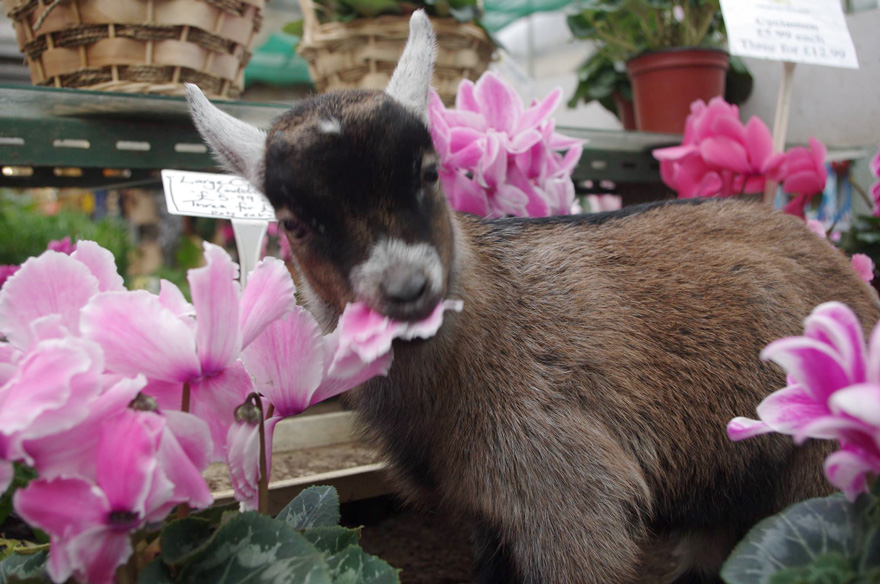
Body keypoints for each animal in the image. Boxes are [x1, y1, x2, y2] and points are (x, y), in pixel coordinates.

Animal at [186, 12, 880, 583]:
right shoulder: (486, 513)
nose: (408, 288)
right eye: (294, 222)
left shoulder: (567, 494)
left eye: (428, 172)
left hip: (820, 451)